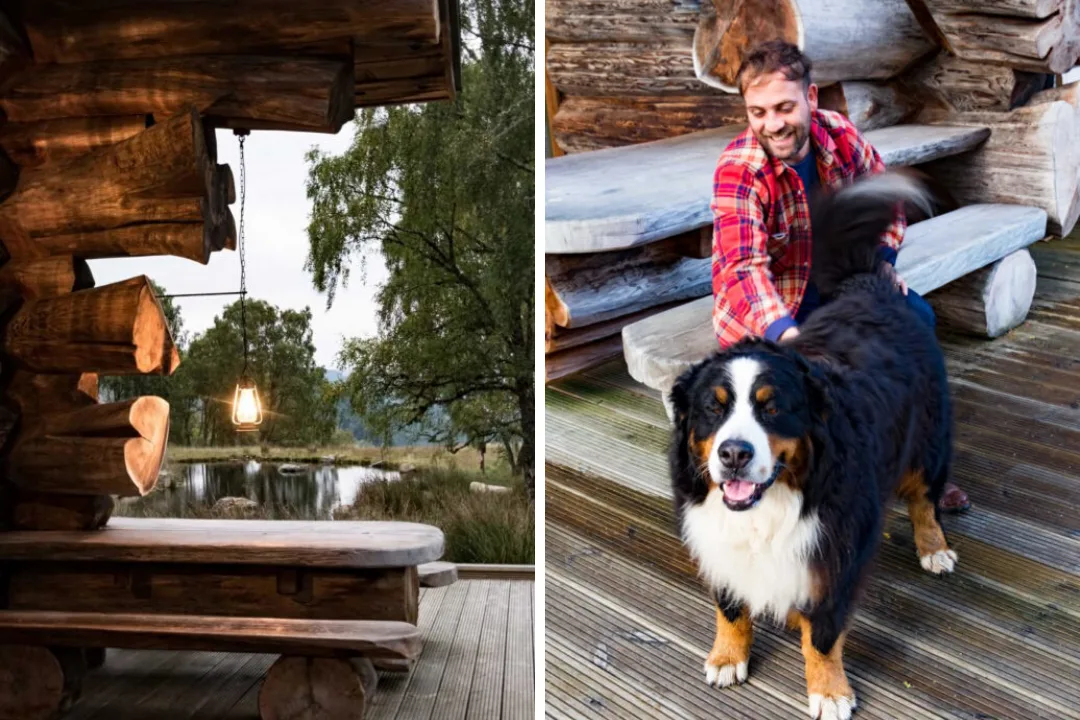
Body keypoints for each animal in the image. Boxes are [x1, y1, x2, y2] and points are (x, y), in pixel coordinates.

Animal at [669, 171, 959, 716]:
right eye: (714, 408)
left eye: (772, 408)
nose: (733, 454)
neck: (770, 506)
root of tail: (870, 288)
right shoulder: (720, 540)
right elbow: (730, 605)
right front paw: (727, 657)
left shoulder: (836, 550)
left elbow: (823, 635)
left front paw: (829, 690)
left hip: (928, 443)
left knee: (924, 499)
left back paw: (934, 548)